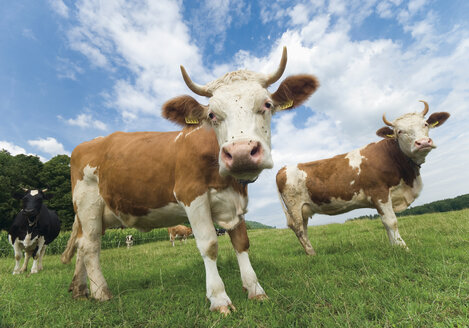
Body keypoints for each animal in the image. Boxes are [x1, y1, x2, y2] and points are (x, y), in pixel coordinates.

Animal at [276, 101, 448, 255]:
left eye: (425, 124)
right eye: (399, 131)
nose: (423, 142)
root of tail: (283, 168)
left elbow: (386, 223)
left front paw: (394, 247)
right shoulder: (379, 192)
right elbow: (391, 221)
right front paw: (403, 248)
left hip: (303, 209)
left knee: (304, 228)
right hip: (294, 207)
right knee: (299, 230)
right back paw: (312, 255)